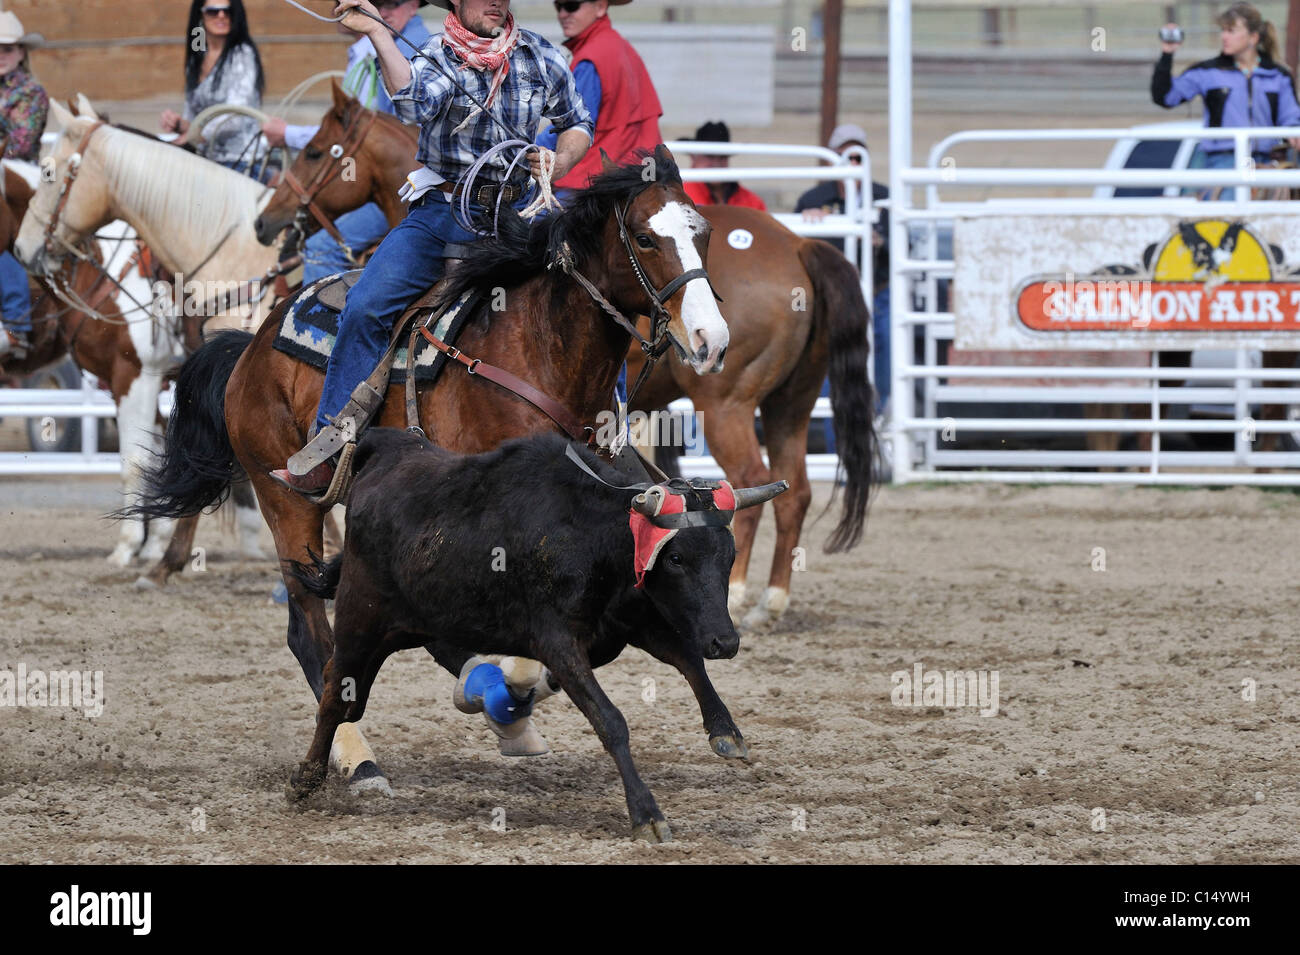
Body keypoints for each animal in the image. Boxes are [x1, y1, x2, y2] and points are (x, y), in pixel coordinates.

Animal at [132, 146, 730, 795]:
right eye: (645, 238)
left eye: (703, 233)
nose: (711, 339)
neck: (537, 351)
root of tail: (251, 346)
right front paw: (511, 686)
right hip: (285, 500)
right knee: (313, 633)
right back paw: (362, 760)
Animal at [253, 84, 878, 629]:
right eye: (645, 238)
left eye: (313, 150)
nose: (267, 221)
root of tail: (800, 244)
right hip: (790, 403)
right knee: (794, 492)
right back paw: (769, 600)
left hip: (729, 406)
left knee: (751, 479)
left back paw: (745, 592)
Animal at [289, 428, 787, 842]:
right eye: (677, 558)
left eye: (729, 555)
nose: (726, 641)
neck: (591, 535)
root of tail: (383, 454)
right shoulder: (559, 641)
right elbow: (611, 720)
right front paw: (647, 814)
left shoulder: (630, 622)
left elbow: (687, 658)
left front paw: (725, 731)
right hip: (362, 621)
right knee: (337, 696)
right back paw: (307, 777)